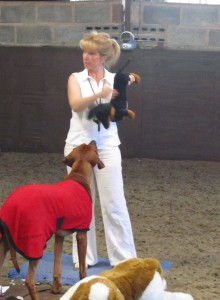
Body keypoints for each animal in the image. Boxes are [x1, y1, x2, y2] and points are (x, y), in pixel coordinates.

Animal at [0, 141, 104, 300]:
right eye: (92, 147)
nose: (94, 140)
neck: (78, 174)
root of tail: (10, 204)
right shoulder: (82, 233)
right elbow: (82, 269)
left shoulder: (59, 235)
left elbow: (57, 264)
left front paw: (57, 288)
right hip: (35, 244)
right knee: (29, 280)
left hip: (4, 243)